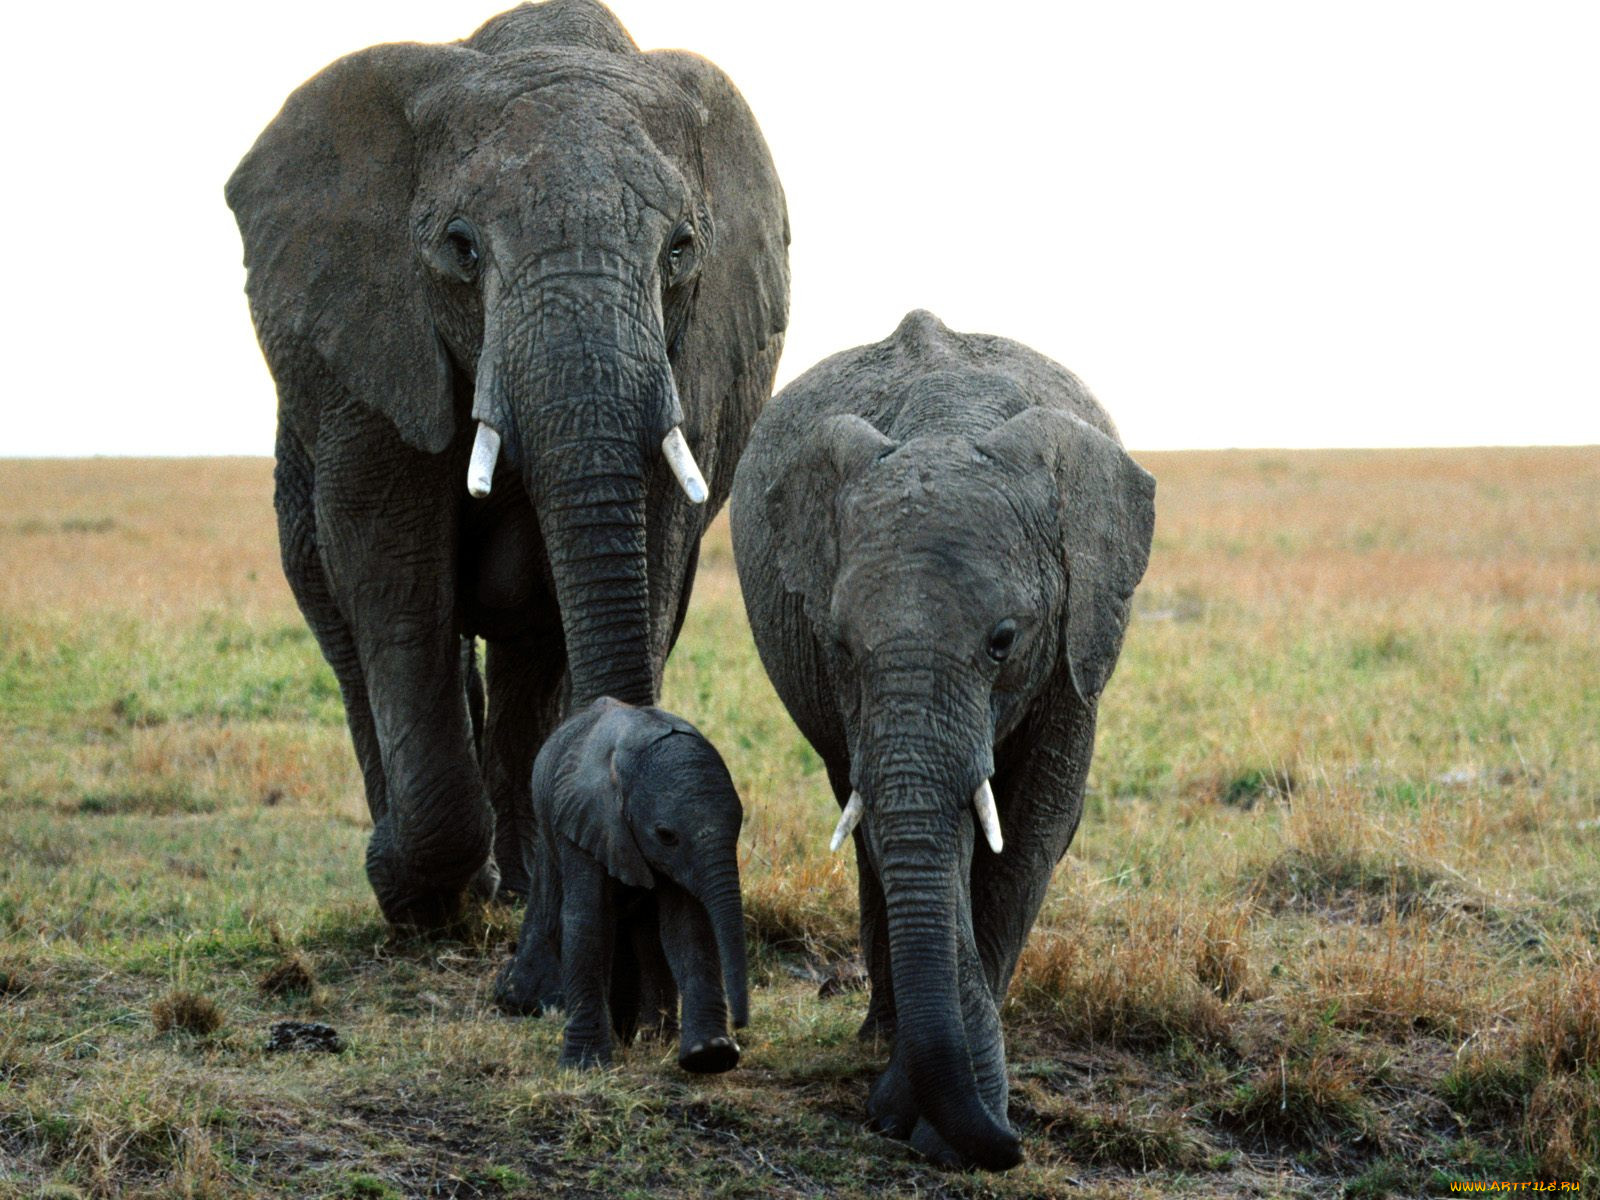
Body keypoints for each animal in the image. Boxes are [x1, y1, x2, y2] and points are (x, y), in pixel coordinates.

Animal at [228, 0, 790, 928]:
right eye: (462, 248)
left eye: (680, 250)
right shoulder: (371, 355)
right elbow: (392, 570)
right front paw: (411, 893)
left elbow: (653, 550)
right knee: (343, 621)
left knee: (534, 646)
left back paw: (523, 881)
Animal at [492, 700, 748, 1075]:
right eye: (666, 835)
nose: (740, 1027)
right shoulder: (584, 821)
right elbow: (590, 922)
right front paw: (583, 1067)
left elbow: (685, 926)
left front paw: (710, 1054)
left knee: (649, 936)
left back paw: (653, 1038)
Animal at [732, 312, 1158, 1177]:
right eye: (840, 645)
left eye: (1003, 641)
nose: (1014, 1148)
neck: (949, 425)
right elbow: (925, 833)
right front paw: (921, 1113)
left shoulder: (1077, 639)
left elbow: (1030, 833)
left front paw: (933, 1121)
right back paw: (881, 1036)